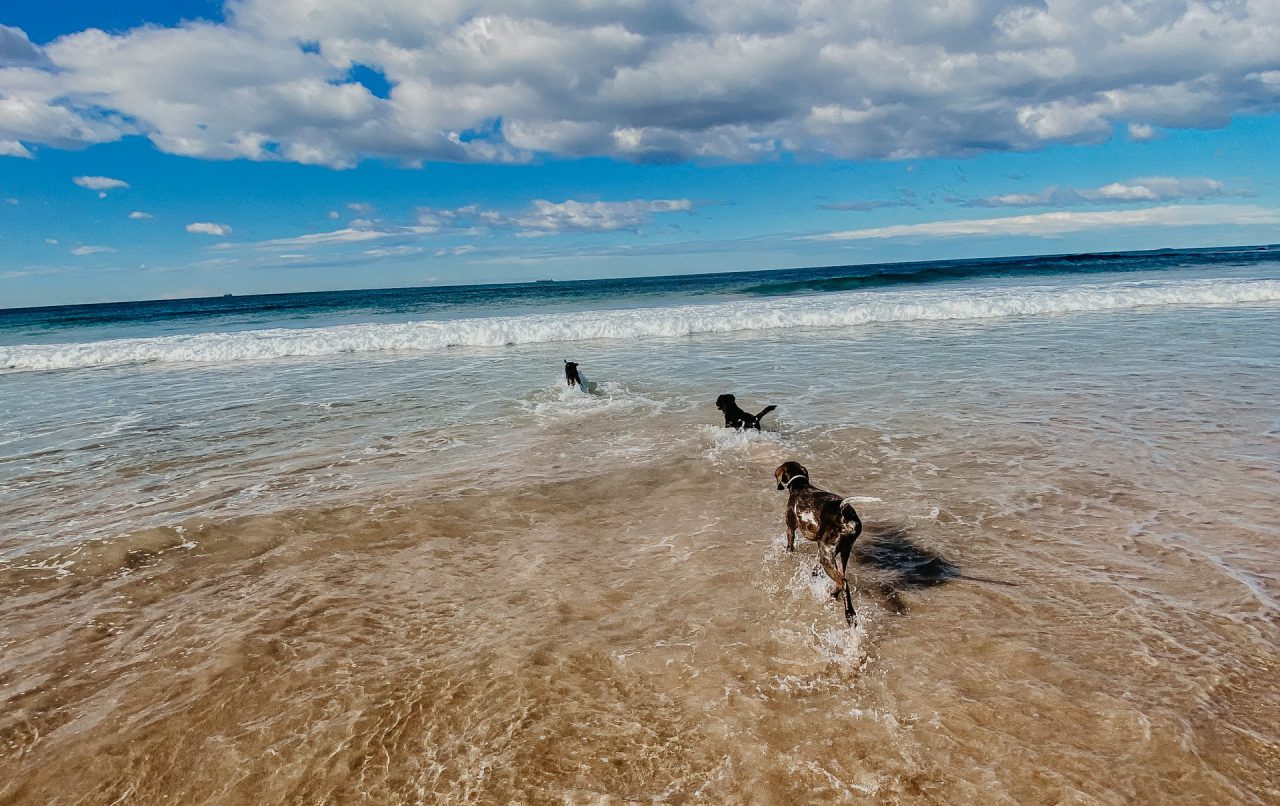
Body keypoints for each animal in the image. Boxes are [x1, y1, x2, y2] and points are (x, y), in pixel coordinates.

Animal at [773, 463, 865, 629]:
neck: (801, 486)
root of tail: (844, 515)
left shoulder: (790, 529)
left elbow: (789, 547)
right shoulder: (820, 548)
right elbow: (815, 570)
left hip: (827, 557)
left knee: (843, 582)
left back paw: (849, 614)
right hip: (840, 552)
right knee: (842, 578)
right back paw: (835, 596)